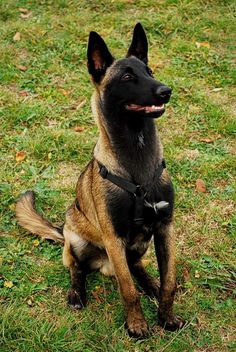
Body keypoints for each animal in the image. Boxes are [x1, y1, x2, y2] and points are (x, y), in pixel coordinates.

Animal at [15, 22, 184, 338]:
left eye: (149, 71)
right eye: (128, 76)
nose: (166, 91)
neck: (136, 157)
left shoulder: (165, 227)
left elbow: (169, 282)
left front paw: (166, 318)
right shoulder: (113, 237)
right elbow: (127, 290)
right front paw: (137, 325)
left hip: (141, 243)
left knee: (136, 266)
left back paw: (149, 283)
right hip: (77, 240)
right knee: (77, 268)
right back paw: (77, 293)